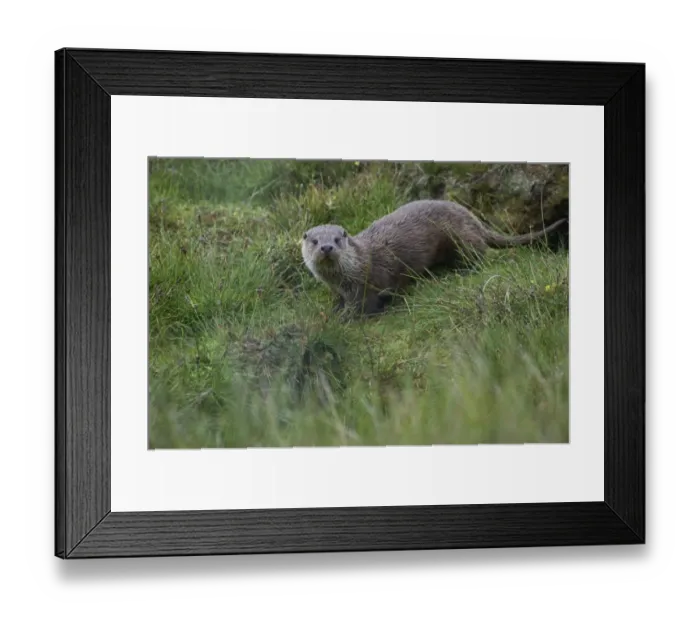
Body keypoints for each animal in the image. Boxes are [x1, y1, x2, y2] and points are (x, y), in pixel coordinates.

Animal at [301, 199, 567, 316]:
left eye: (337, 239)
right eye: (314, 241)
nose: (326, 247)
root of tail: (473, 218)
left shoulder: (369, 284)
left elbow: (367, 305)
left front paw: (347, 318)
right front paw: (337, 309)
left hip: (461, 238)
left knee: (479, 253)